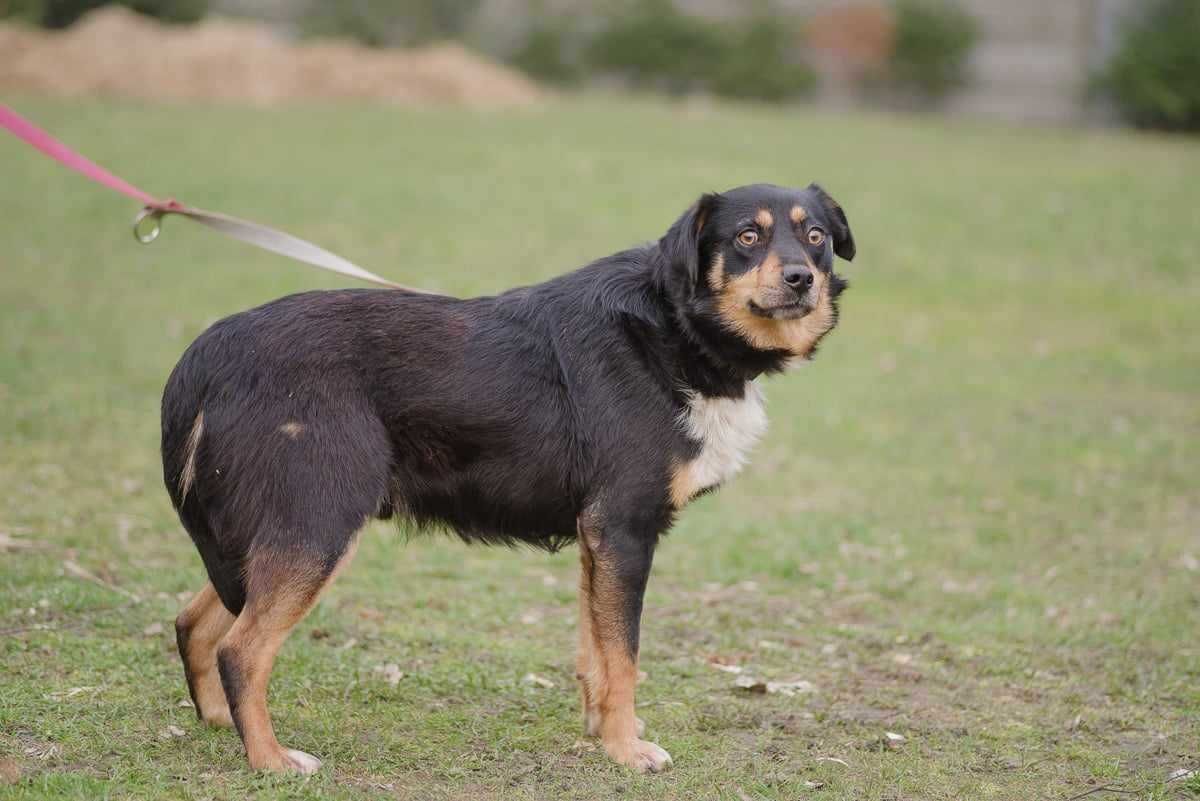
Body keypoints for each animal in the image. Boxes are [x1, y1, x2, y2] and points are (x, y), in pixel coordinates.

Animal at [164, 184, 854, 772]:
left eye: (816, 235)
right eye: (746, 237)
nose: (801, 279)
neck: (676, 325)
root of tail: (207, 353)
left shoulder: (599, 541)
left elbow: (597, 657)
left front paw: (602, 736)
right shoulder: (625, 529)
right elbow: (625, 659)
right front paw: (628, 751)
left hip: (268, 535)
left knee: (195, 624)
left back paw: (222, 725)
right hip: (319, 523)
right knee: (242, 650)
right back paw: (270, 760)